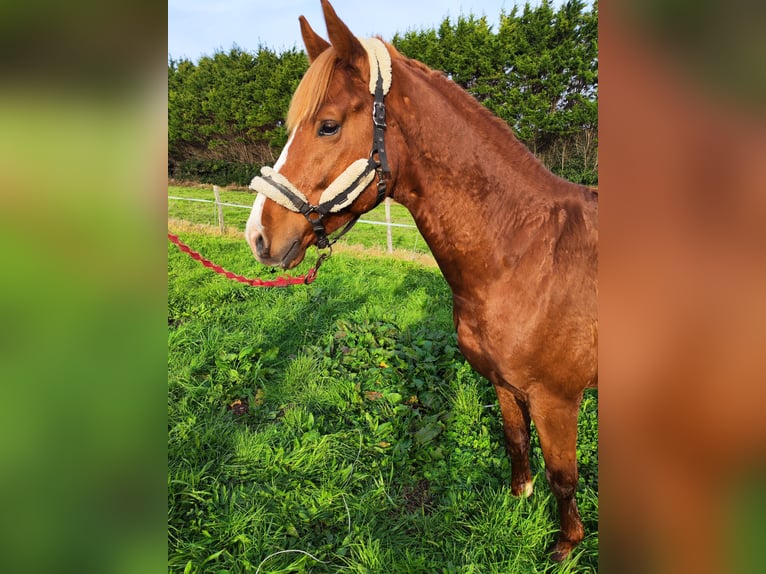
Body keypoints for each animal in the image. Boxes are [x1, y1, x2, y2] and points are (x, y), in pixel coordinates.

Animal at [246, 0, 600, 564]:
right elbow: (516, 442)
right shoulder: (503, 385)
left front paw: (565, 545)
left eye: (327, 126)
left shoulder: (558, 400)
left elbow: (564, 476)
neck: (525, 256)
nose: (258, 235)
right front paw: (519, 498)